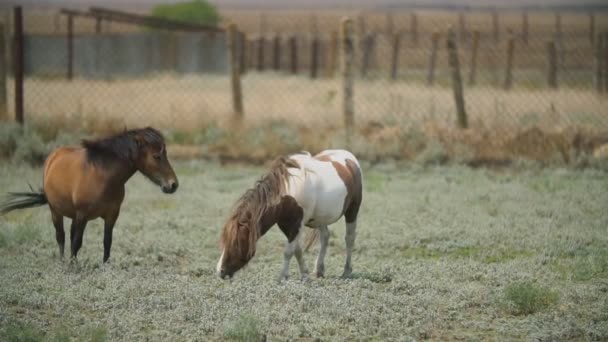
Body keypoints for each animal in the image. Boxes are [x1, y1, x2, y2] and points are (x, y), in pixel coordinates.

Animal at [0, 127, 178, 264]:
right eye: (156, 156)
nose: (173, 185)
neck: (104, 177)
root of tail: (53, 156)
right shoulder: (83, 215)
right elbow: (77, 242)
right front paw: (72, 267)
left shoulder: (111, 215)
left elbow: (107, 242)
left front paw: (105, 266)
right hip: (56, 211)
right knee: (61, 237)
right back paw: (63, 262)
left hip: (73, 215)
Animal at [217, 150, 360, 280]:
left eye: (235, 243)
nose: (220, 271)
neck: (289, 194)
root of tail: (348, 156)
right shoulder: (287, 226)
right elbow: (297, 251)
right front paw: (305, 275)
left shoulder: (296, 226)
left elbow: (288, 252)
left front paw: (282, 277)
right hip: (321, 219)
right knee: (325, 238)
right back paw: (319, 270)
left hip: (352, 211)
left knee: (349, 239)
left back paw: (347, 271)